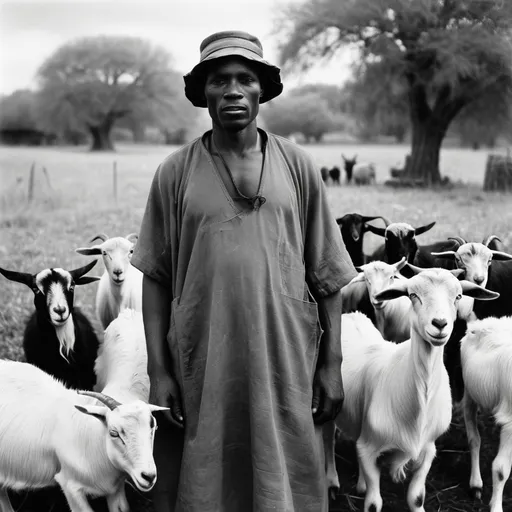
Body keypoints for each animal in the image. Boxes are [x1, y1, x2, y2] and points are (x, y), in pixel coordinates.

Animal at [326, 266, 498, 512]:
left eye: (457, 296)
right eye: (413, 295)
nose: (440, 324)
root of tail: (350, 315)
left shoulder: (428, 449)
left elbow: (416, 498)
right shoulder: (370, 451)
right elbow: (373, 504)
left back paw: (359, 484)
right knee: (328, 440)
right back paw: (332, 483)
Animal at [462, 316, 512, 512]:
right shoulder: (510, 423)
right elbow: (500, 469)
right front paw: (496, 507)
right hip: (469, 392)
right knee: (474, 438)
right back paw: (475, 485)